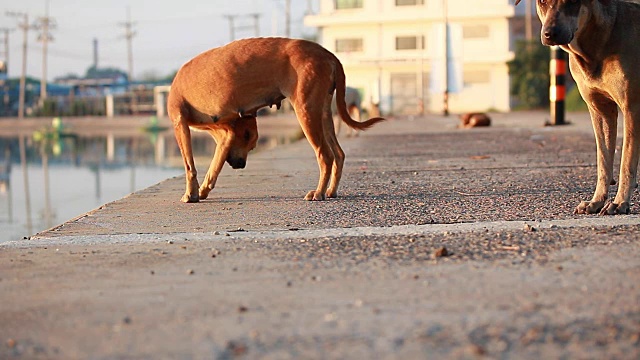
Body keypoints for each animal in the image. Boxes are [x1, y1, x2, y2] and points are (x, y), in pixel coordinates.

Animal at [168, 39, 382, 204]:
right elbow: (213, 168)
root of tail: (328, 54)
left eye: (253, 148)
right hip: (323, 114)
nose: (241, 165)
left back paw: (319, 192)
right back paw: (331, 191)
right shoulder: (224, 136)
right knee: (339, 154)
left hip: (306, 112)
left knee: (325, 155)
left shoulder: (181, 124)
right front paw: (202, 191)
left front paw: (190, 194)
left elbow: (189, 166)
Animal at [516, 0, 640, 214]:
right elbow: (603, 160)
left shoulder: (632, 107)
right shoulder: (600, 110)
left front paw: (620, 202)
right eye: (542, 2)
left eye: (571, 2)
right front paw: (596, 201)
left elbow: (626, 161)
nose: (550, 33)